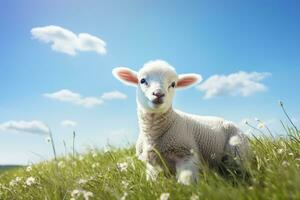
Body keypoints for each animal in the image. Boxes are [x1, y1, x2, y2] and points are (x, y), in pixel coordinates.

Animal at [111, 60, 250, 185]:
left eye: (173, 84)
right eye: (142, 80)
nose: (158, 94)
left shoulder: (187, 154)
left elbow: (186, 182)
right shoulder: (152, 165)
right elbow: (152, 182)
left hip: (236, 151)